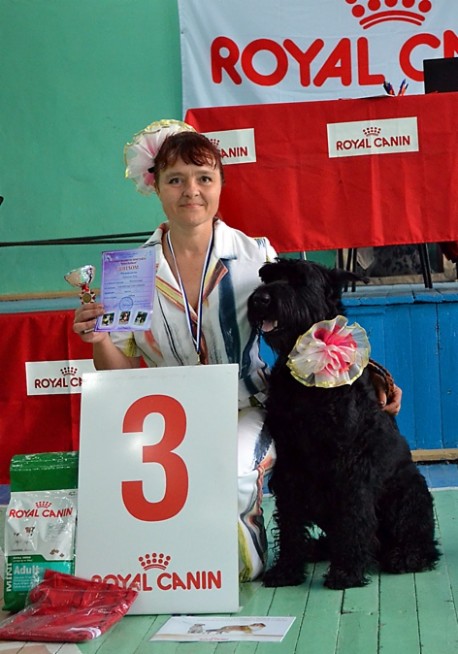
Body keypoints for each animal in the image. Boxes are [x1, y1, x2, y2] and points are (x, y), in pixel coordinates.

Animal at [247, 258, 440, 589]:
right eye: (268, 276)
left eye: (299, 280)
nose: (260, 299)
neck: (307, 379)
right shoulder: (290, 462)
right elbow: (290, 518)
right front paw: (287, 569)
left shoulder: (351, 463)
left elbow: (353, 516)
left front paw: (347, 571)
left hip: (407, 492)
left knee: (420, 541)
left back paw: (405, 556)